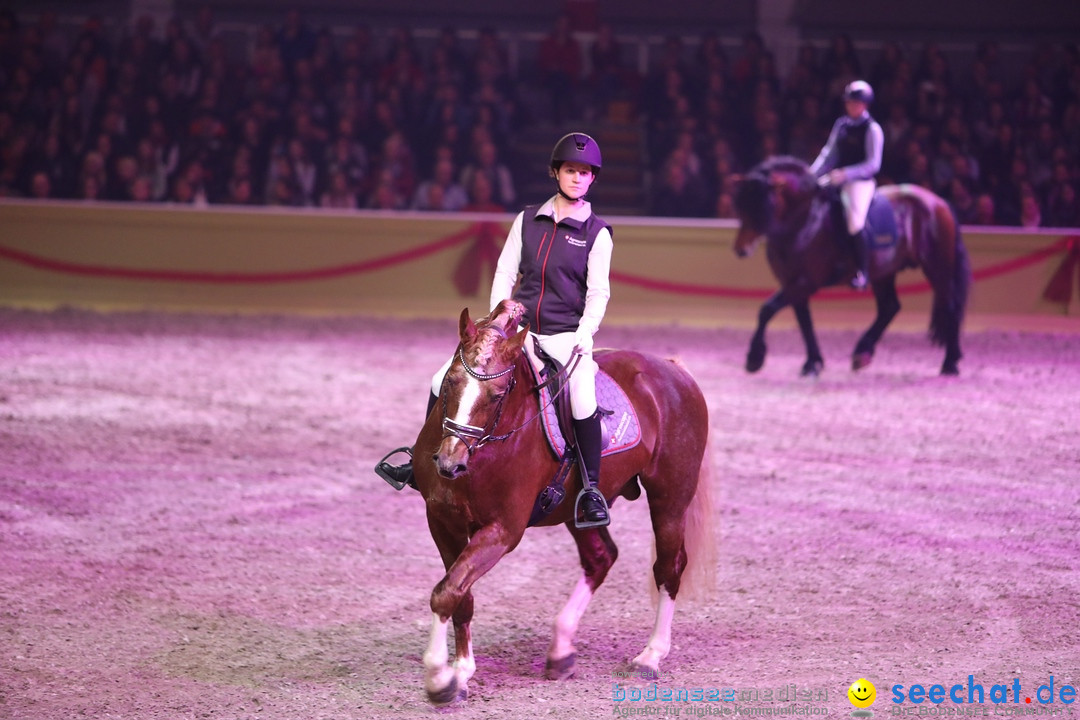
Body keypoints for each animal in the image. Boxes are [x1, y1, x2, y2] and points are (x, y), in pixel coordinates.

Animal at [408, 297, 712, 703]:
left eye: (498, 394)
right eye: (451, 381)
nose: (449, 463)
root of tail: (673, 369)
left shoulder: (503, 530)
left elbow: (448, 592)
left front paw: (440, 678)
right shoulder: (441, 520)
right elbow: (457, 593)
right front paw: (461, 671)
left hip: (670, 499)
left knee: (668, 567)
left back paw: (650, 656)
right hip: (575, 508)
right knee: (601, 558)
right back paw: (561, 649)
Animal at [734, 156, 972, 377]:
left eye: (763, 206)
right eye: (741, 205)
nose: (740, 249)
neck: (804, 223)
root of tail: (938, 202)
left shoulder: (805, 282)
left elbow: (767, 310)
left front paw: (754, 358)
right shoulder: (792, 283)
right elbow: (804, 321)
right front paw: (812, 363)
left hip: (937, 268)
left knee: (949, 306)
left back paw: (950, 363)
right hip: (884, 273)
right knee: (890, 307)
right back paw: (862, 353)